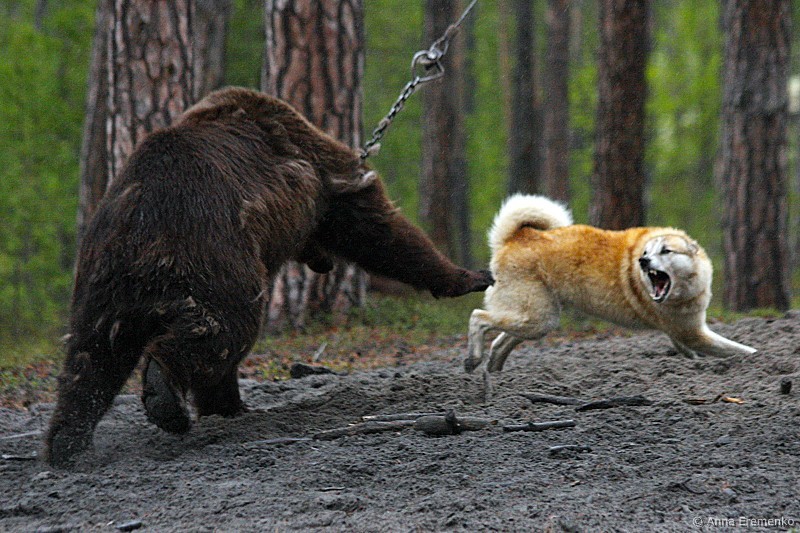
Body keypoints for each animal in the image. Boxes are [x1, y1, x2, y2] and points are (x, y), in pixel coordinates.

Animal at [43, 87, 493, 466]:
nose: (325, 264)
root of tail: (138, 227)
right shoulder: (316, 170)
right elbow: (378, 229)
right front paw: (470, 275)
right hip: (210, 252)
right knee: (227, 327)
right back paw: (165, 397)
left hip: (102, 285)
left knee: (91, 358)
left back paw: (67, 442)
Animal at [465, 194, 757, 374]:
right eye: (647, 252)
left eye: (666, 251)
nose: (643, 261)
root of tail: (518, 236)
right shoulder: (691, 333)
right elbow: (740, 350)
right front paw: (757, 357)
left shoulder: (680, 331)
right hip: (537, 316)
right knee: (478, 317)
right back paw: (473, 359)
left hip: (538, 318)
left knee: (500, 342)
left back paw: (496, 374)